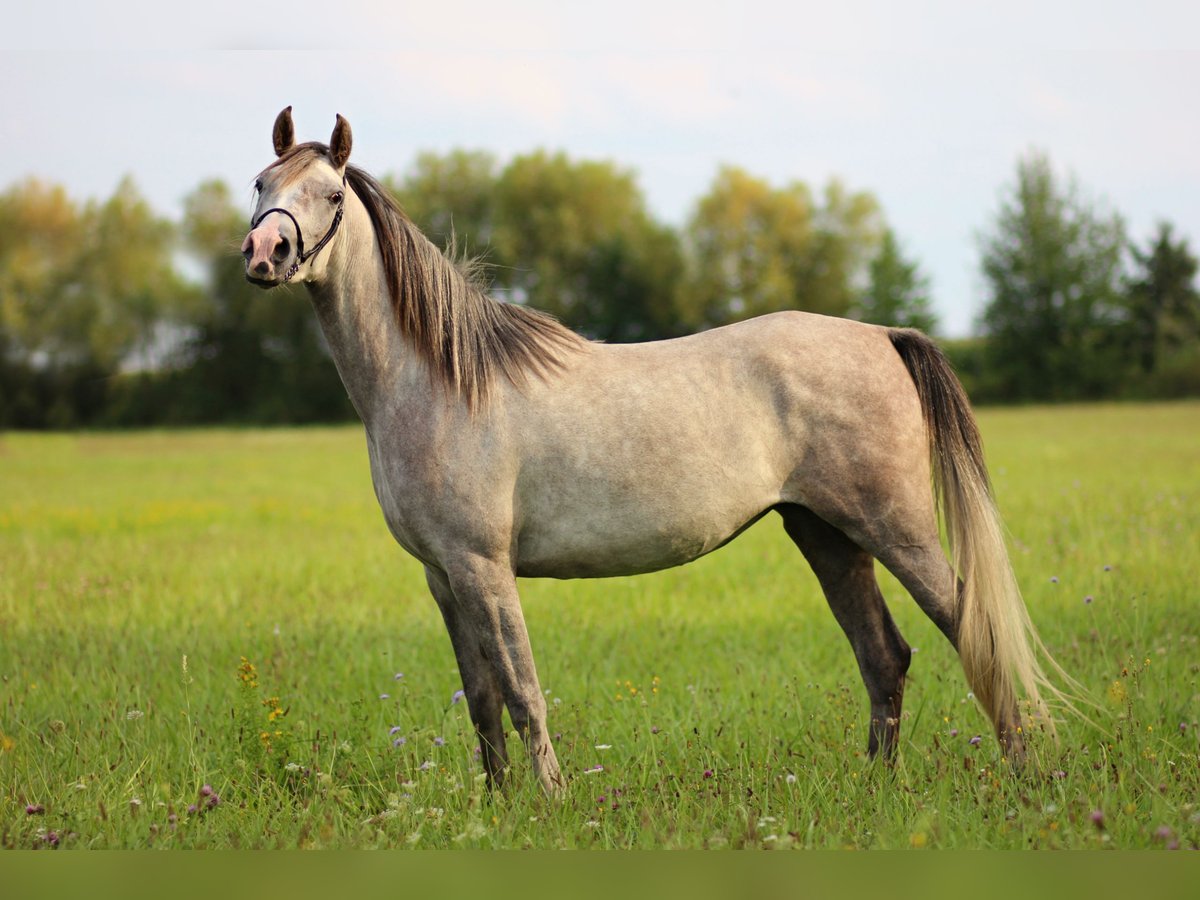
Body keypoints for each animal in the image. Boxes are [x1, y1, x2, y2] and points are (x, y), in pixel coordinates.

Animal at [241, 107, 1060, 796]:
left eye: (330, 194)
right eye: (260, 184)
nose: (263, 253)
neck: (438, 381)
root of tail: (884, 336)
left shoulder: (483, 567)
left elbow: (522, 691)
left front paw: (550, 803)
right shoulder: (444, 576)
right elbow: (480, 700)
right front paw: (497, 805)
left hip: (895, 527)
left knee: (973, 630)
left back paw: (1031, 774)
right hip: (825, 533)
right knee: (883, 655)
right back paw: (877, 788)